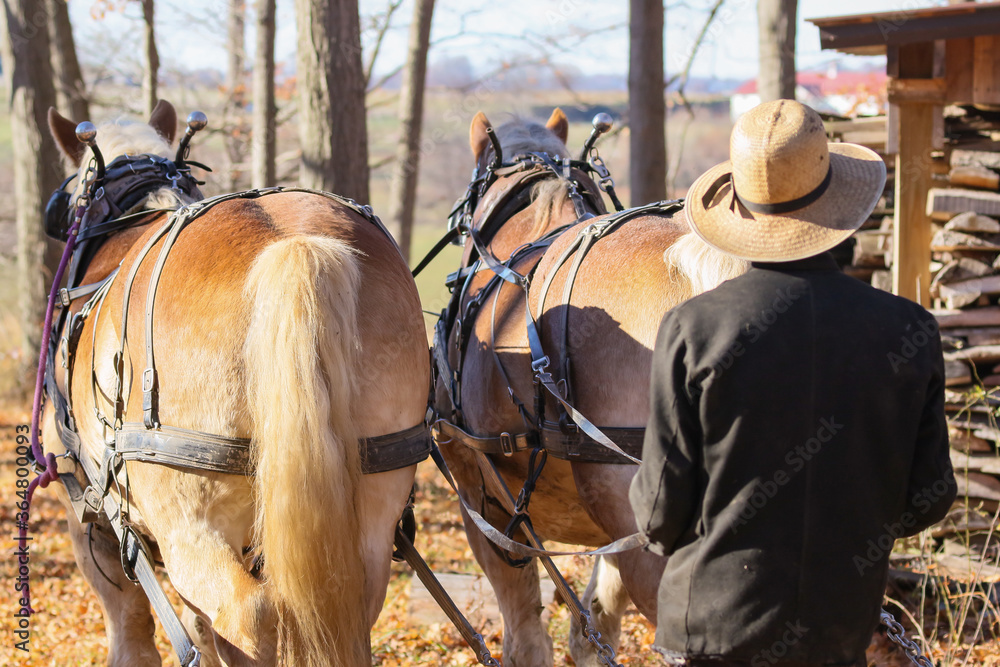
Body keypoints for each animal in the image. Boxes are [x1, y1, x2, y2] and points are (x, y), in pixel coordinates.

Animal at [41, 102, 426, 664]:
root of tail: (295, 244)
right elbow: (198, 624)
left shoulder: (90, 518)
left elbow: (133, 631)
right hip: (373, 497)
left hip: (192, 522)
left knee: (252, 617)